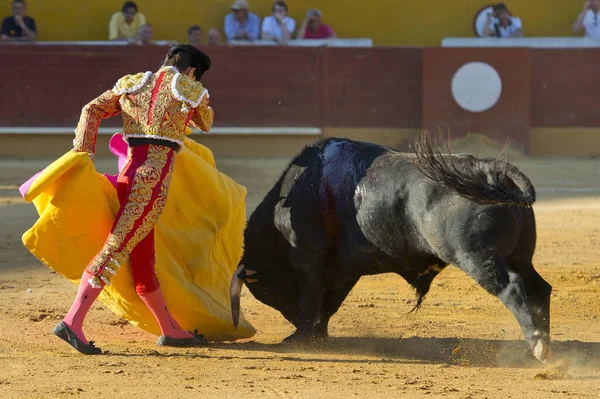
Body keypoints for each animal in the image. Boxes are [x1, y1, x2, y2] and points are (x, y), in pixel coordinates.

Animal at [231, 136, 552, 364]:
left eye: (267, 291)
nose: (294, 321)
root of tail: (488, 169)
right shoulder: (343, 270)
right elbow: (328, 303)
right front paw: (317, 335)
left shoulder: (307, 259)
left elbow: (312, 299)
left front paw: (302, 337)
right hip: (519, 256)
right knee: (539, 287)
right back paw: (543, 343)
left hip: (478, 258)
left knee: (513, 288)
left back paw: (537, 345)